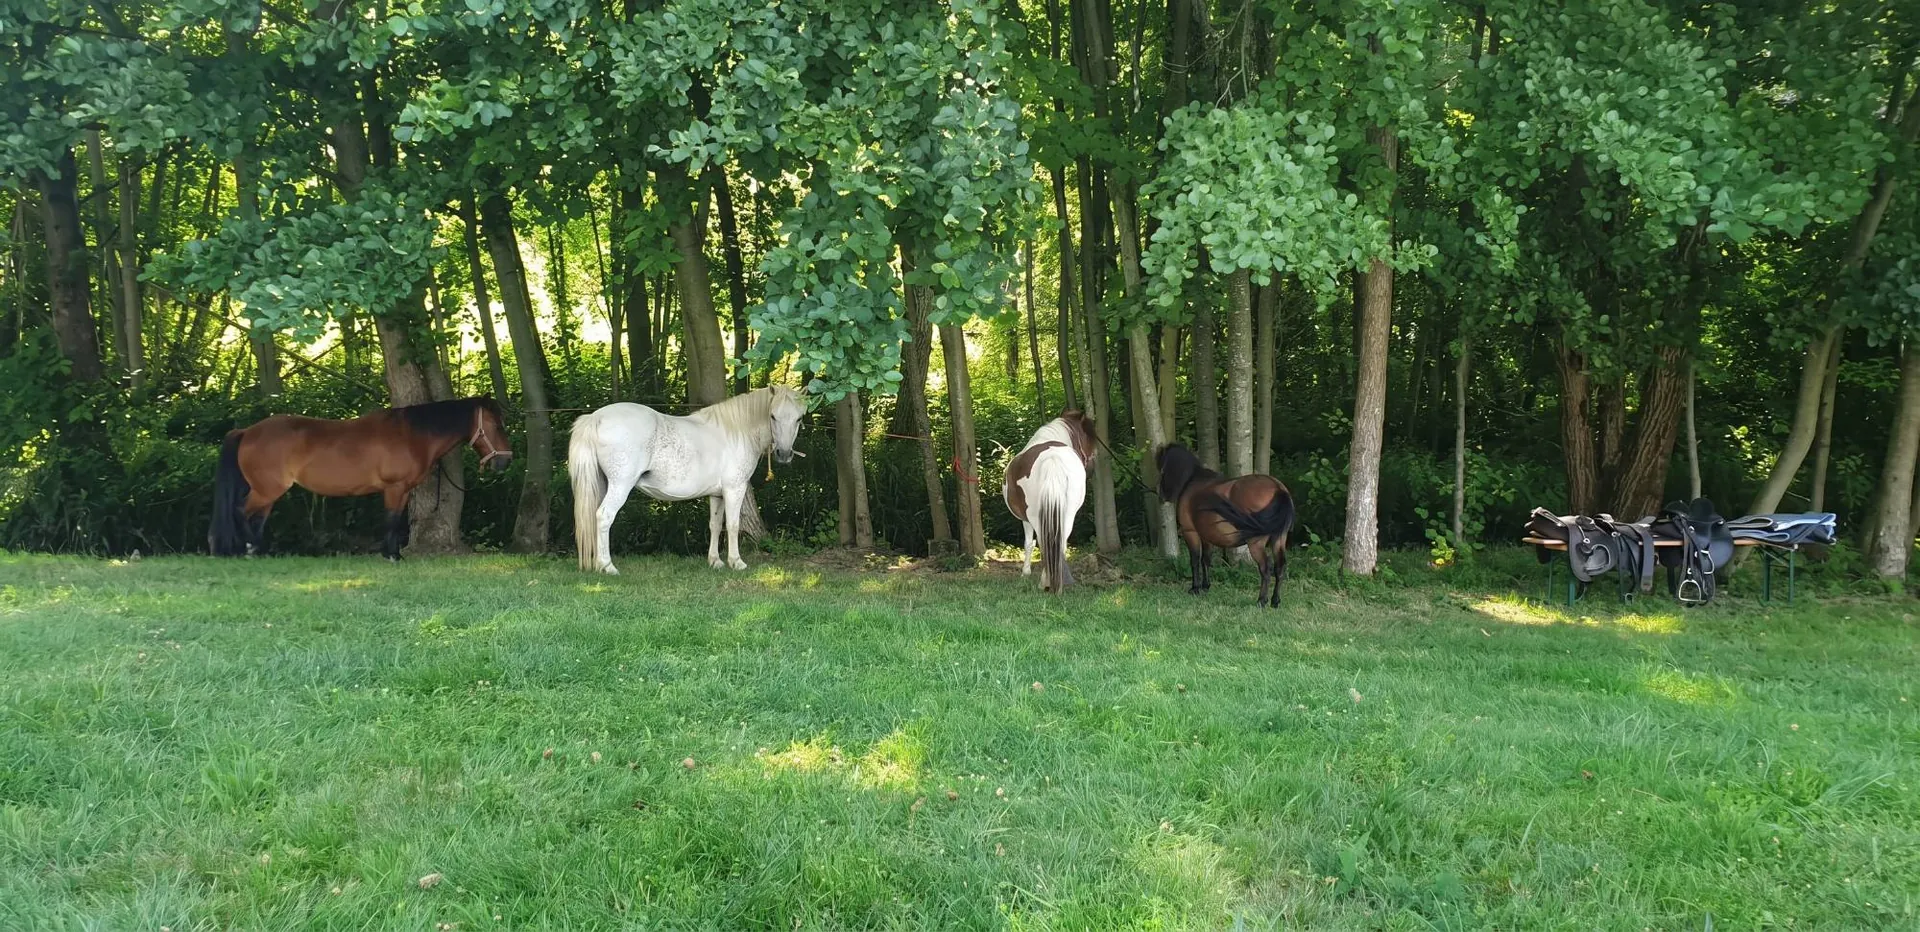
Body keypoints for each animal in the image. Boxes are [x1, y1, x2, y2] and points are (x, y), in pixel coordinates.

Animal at [210, 396, 513, 561]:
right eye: (497, 425)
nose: (505, 461)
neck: (411, 434)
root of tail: (247, 431)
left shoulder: (403, 491)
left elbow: (396, 520)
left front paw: (394, 553)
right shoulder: (394, 488)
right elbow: (391, 519)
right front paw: (391, 555)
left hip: (268, 492)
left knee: (257, 518)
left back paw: (256, 550)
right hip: (266, 490)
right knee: (241, 511)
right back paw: (251, 548)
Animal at [569, 385, 807, 574]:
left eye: (798, 418)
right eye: (773, 416)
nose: (784, 454)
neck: (736, 431)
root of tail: (596, 417)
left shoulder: (717, 494)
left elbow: (715, 525)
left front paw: (715, 561)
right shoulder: (734, 490)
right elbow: (732, 525)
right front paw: (736, 562)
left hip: (603, 484)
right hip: (620, 486)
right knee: (604, 516)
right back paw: (607, 566)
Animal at [1002, 410, 1096, 593]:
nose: (1093, 466)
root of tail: (1053, 458)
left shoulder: (1026, 519)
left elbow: (1028, 543)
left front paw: (1025, 572)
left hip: (1036, 515)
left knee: (1044, 542)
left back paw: (1046, 582)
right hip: (1068, 513)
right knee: (1060, 541)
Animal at [1155, 443, 1296, 607]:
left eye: (1162, 469)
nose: (1161, 496)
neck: (1193, 481)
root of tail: (1277, 488)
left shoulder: (1190, 532)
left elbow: (1195, 560)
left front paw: (1195, 588)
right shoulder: (1205, 536)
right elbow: (1206, 560)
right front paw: (1205, 586)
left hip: (1256, 543)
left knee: (1265, 568)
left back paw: (1261, 601)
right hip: (1278, 539)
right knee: (1280, 567)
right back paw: (1275, 601)